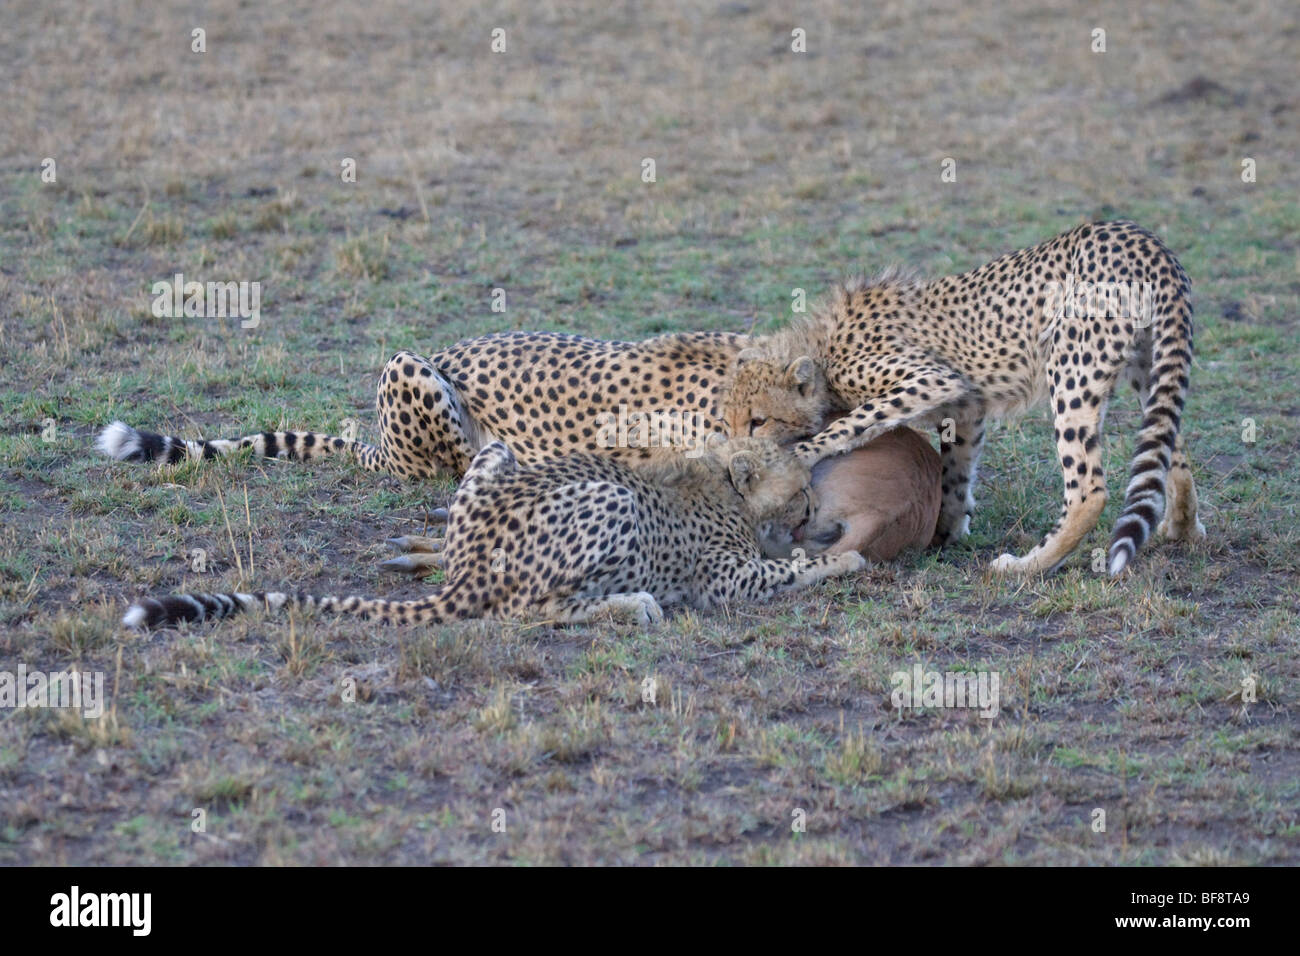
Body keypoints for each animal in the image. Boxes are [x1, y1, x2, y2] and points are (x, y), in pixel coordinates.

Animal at [126, 437, 868, 632]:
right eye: (802, 493)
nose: (824, 515)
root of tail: (470, 572)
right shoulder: (727, 579)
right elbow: (789, 569)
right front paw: (847, 558)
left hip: (498, 453)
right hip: (609, 498)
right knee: (527, 611)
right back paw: (633, 604)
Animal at [728, 221, 1201, 574]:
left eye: (758, 420)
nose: (733, 448)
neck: (822, 347)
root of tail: (1142, 238)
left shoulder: (932, 379)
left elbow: (849, 425)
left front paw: (787, 459)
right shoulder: (966, 409)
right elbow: (954, 474)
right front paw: (948, 531)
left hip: (1072, 372)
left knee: (1089, 489)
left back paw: (1027, 566)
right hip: (1150, 367)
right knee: (1171, 449)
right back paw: (1182, 529)